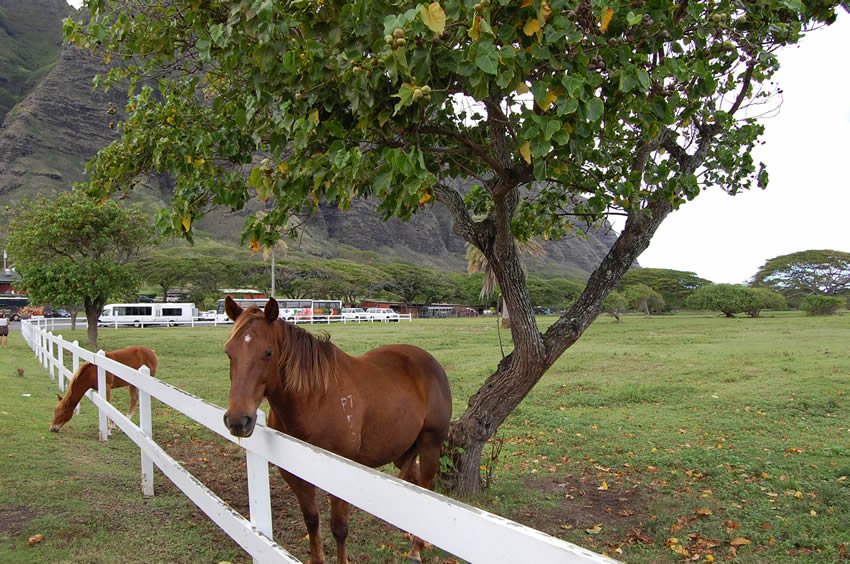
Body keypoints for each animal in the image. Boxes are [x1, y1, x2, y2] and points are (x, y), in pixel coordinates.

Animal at [222, 298, 454, 560]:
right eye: (229, 352)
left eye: (268, 353)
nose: (238, 420)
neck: (314, 400)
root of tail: (430, 361)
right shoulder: (295, 475)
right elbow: (311, 521)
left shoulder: (340, 474)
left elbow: (339, 528)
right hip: (402, 449)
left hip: (430, 443)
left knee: (426, 483)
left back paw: (417, 548)